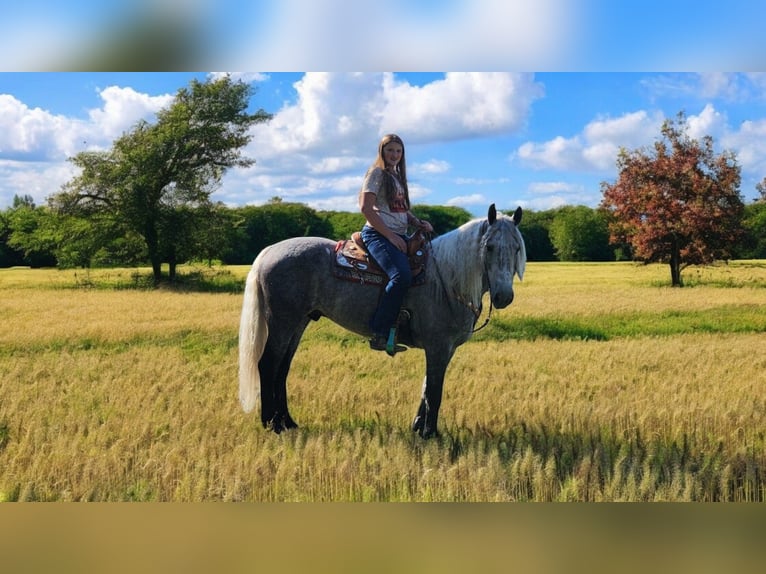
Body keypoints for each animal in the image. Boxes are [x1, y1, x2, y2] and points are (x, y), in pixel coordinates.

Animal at [242, 205, 528, 438]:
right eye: (489, 247)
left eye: (516, 249)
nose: (504, 296)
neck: (446, 279)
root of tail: (270, 251)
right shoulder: (438, 347)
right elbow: (434, 392)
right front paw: (430, 434)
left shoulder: (444, 350)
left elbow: (427, 387)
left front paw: (418, 427)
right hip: (282, 322)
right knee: (268, 364)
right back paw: (272, 424)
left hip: (298, 323)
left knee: (282, 369)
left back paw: (287, 422)